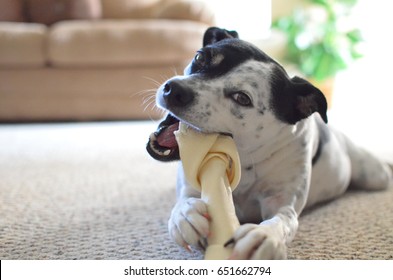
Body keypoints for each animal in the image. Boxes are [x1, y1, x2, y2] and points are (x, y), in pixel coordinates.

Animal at [145, 27, 390, 260]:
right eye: (200, 57)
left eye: (242, 98)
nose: (174, 89)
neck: (245, 159)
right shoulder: (192, 183)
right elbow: (185, 200)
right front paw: (185, 215)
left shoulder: (282, 203)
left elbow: (282, 220)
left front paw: (263, 236)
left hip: (374, 176)